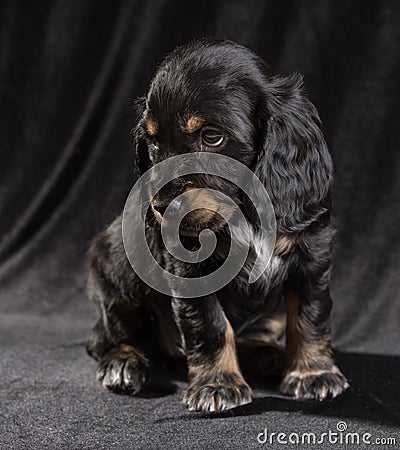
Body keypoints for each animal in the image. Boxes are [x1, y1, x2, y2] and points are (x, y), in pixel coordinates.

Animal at [86, 38, 348, 412]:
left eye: (212, 137)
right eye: (153, 142)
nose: (161, 207)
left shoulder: (311, 253)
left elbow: (310, 315)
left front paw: (313, 374)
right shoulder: (190, 269)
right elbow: (210, 325)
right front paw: (217, 384)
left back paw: (268, 356)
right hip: (114, 272)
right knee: (111, 337)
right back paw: (123, 363)